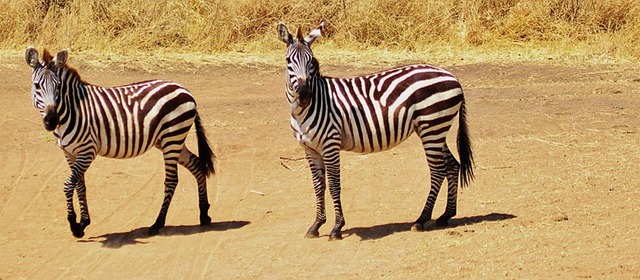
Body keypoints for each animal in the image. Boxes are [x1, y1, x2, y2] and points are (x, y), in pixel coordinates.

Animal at [25, 47, 215, 236]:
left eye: (58, 86)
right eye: (37, 86)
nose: (51, 121)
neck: (73, 110)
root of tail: (183, 89)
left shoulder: (87, 151)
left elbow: (68, 184)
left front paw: (74, 225)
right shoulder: (69, 152)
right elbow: (79, 185)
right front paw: (83, 222)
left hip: (172, 137)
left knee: (171, 180)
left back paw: (158, 223)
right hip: (169, 140)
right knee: (197, 165)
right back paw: (204, 214)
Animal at [276, 23, 476, 240]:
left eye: (311, 61)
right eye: (288, 61)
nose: (304, 95)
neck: (308, 108)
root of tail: (452, 76)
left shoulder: (331, 144)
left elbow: (335, 185)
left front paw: (337, 227)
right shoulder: (310, 149)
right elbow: (319, 187)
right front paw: (316, 225)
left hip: (432, 127)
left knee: (438, 171)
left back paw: (421, 220)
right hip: (435, 129)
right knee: (453, 165)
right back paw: (446, 215)